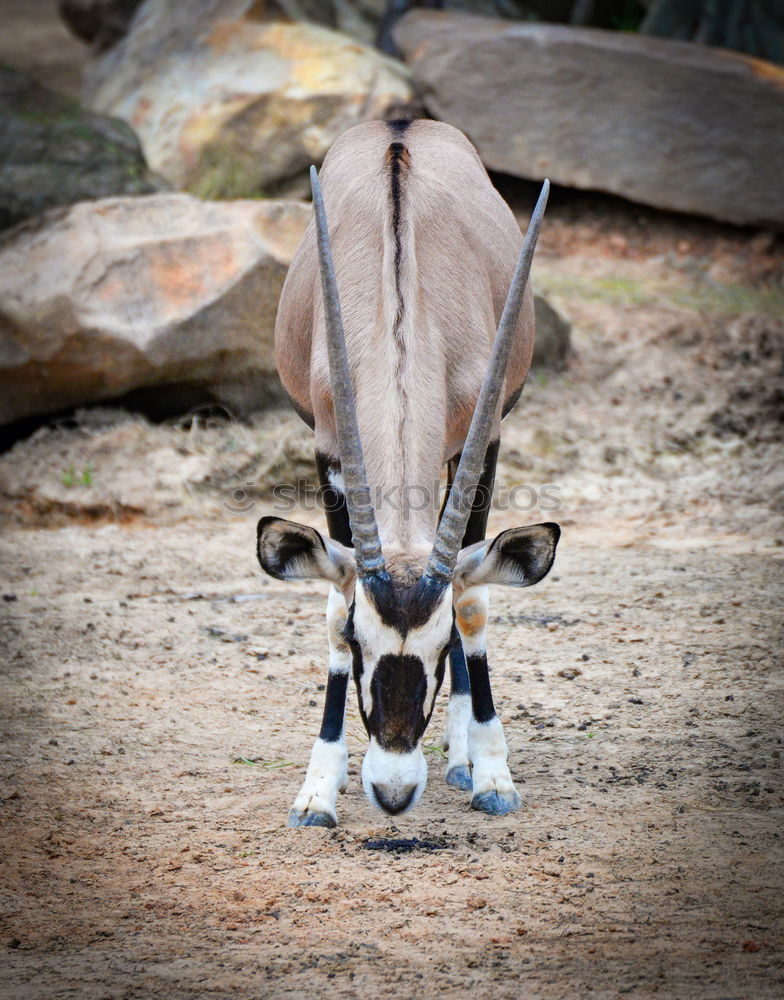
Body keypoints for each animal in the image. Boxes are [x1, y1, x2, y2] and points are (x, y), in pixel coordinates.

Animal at [260, 117, 560, 824]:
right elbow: (330, 597)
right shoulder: (329, 452)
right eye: (358, 641)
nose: (393, 793)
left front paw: (491, 774)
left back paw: (461, 756)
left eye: (439, 645)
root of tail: (403, 125)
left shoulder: (487, 444)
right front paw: (319, 788)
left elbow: (474, 599)